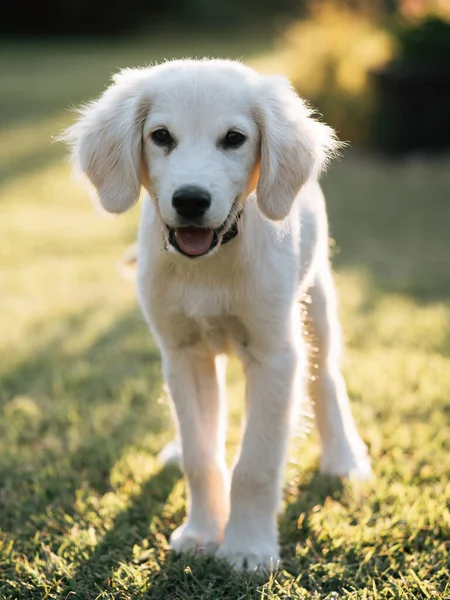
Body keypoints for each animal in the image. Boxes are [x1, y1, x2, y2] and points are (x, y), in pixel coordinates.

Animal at [64, 58, 372, 568]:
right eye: (161, 136)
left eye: (234, 139)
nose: (190, 200)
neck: (210, 264)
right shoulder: (184, 352)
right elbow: (201, 455)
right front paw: (202, 532)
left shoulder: (274, 354)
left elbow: (256, 463)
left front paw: (247, 548)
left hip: (316, 301)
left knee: (326, 378)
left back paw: (344, 459)